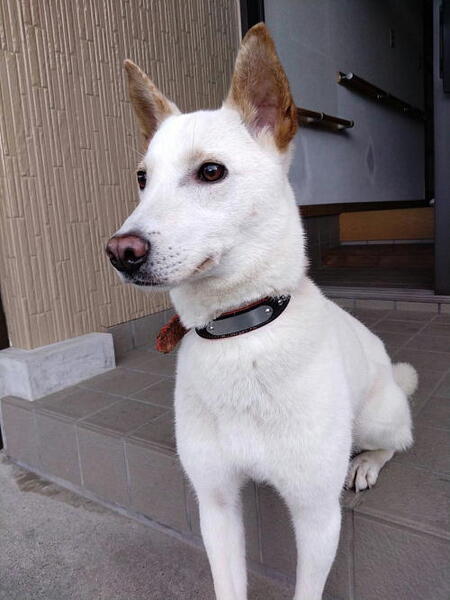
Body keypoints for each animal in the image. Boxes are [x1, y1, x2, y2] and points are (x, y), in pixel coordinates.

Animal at [106, 23, 417, 600]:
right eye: (142, 179)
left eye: (211, 171)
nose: (120, 252)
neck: (239, 330)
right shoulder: (216, 501)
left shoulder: (317, 514)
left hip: (377, 417)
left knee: (397, 440)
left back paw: (365, 464)